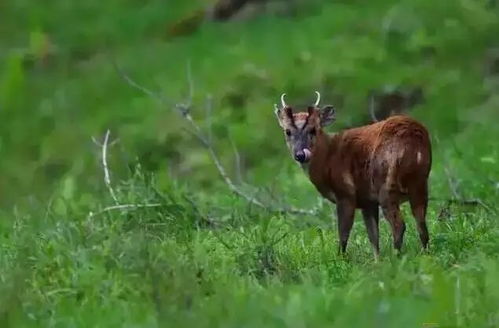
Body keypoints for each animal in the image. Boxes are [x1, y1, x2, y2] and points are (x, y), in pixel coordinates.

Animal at [276, 91, 432, 258]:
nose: (300, 154)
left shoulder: (346, 193)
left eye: (313, 129)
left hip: (385, 183)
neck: (328, 157)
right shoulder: (367, 200)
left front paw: (340, 259)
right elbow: (373, 237)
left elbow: (343, 234)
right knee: (422, 224)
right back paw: (425, 254)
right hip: (420, 182)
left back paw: (396, 257)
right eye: (288, 131)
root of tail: (413, 141)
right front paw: (377, 261)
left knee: (399, 225)